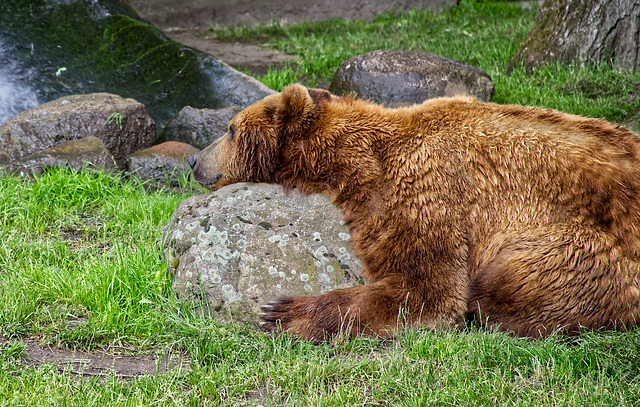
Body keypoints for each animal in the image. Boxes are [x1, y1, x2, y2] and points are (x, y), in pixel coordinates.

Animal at [188, 83, 640, 342]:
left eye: (229, 129)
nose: (194, 161)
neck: (351, 166)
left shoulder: (425, 191)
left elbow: (427, 290)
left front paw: (284, 313)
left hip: (587, 249)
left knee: (511, 277)